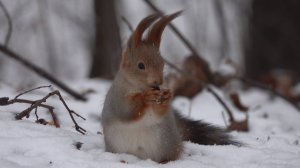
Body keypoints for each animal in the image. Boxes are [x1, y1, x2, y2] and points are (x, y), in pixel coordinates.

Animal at [102, 11, 240, 163]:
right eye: (140, 65)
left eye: (162, 63)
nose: (158, 81)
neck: (141, 87)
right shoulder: (117, 97)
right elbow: (127, 110)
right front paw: (145, 97)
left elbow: (160, 112)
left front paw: (167, 97)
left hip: (167, 143)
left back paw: (165, 161)